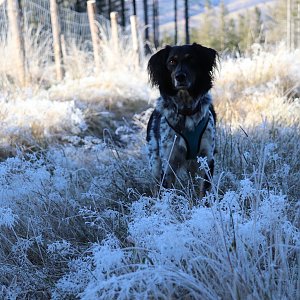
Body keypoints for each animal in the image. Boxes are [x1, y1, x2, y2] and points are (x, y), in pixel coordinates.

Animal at [146, 42, 218, 197]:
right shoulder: (168, 162)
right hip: (154, 161)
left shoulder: (207, 158)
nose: (180, 77)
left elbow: (204, 190)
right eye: (171, 61)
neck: (186, 111)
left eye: (191, 59)